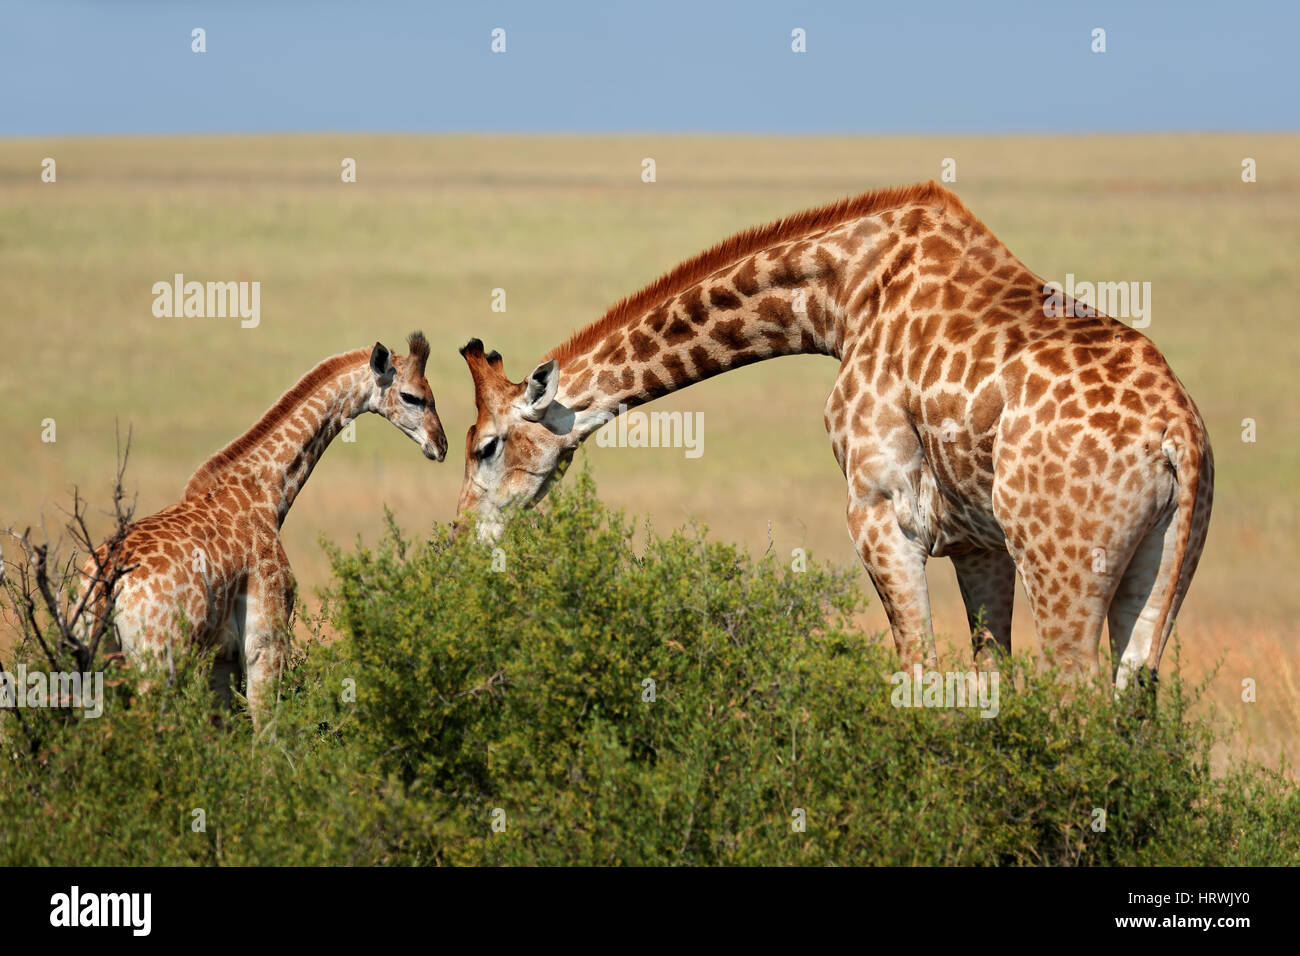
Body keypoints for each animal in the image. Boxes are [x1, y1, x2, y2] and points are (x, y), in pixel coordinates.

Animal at [82, 335, 447, 717]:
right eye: (411, 395)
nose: (441, 445)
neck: (267, 492)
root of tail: (104, 585)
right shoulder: (266, 637)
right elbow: (266, 721)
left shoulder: (222, 654)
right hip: (158, 661)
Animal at [462, 180, 1211, 686]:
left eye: (485, 447)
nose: (463, 539)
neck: (842, 296)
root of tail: (1178, 435)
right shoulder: (979, 542)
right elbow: (985, 678)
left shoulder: (879, 511)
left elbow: (919, 674)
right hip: (1160, 565)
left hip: (1062, 563)